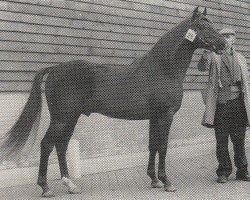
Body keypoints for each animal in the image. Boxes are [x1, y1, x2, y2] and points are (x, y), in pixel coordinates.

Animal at [0, 6, 226, 197]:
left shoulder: (154, 117)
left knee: (61, 146)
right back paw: (46, 187)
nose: (223, 44)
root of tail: (55, 68)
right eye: (203, 26)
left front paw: (154, 180)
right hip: (61, 119)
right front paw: (166, 182)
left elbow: (152, 145)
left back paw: (70, 185)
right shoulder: (165, 116)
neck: (162, 69)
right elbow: (162, 146)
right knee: (47, 144)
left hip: (70, 119)